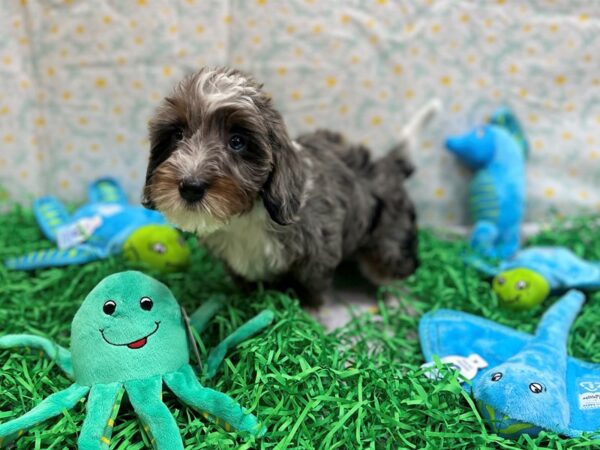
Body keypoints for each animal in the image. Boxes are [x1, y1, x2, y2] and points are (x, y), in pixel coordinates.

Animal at [143, 67, 438, 306]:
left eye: (237, 141)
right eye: (177, 134)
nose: (190, 186)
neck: (248, 214)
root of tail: (389, 165)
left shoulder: (318, 254)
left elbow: (311, 291)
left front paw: (307, 315)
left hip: (389, 240)